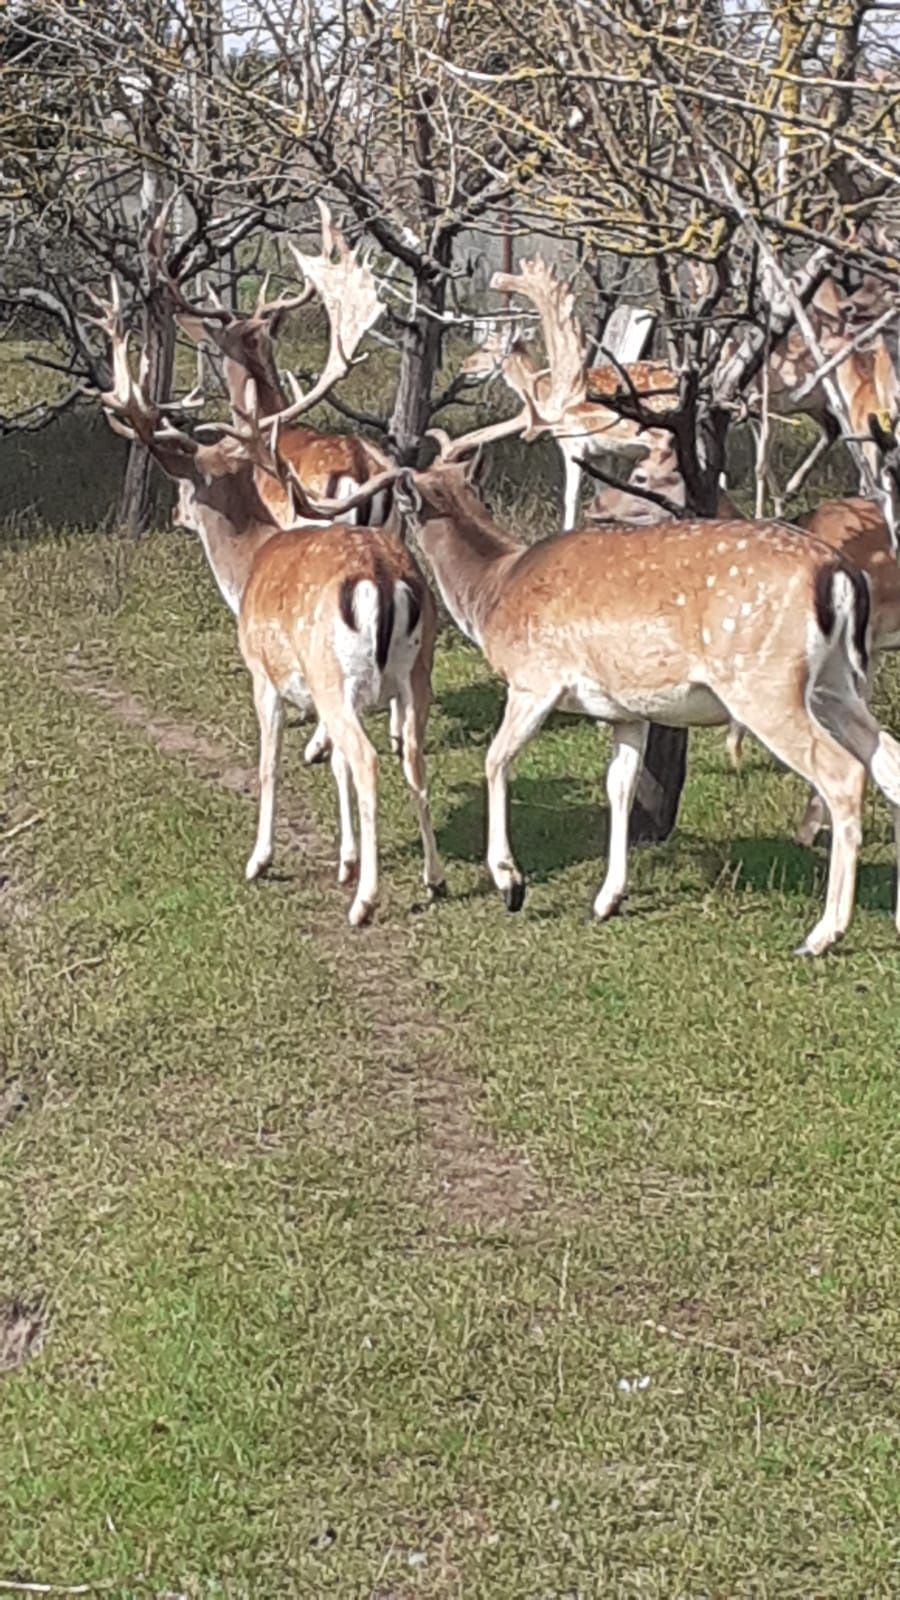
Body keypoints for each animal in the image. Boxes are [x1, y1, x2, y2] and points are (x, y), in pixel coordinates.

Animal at [94, 264, 441, 928]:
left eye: (185, 485)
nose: (175, 514)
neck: (249, 563)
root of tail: (385, 577)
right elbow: (335, 770)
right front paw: (344, 859)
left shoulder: (263, 671)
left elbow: (269, 763)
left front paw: (261, 860)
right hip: (417, 670)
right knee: (410, 753)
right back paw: (433, 879)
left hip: (333, 672)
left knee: (367, 761)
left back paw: (365, 902)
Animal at [454, 259, 672, 528]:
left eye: (486, 348)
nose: (463, 365)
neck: (546, 393)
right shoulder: (601, 453)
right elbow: (603, 494)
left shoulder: (573, 442)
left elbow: (570, 497)